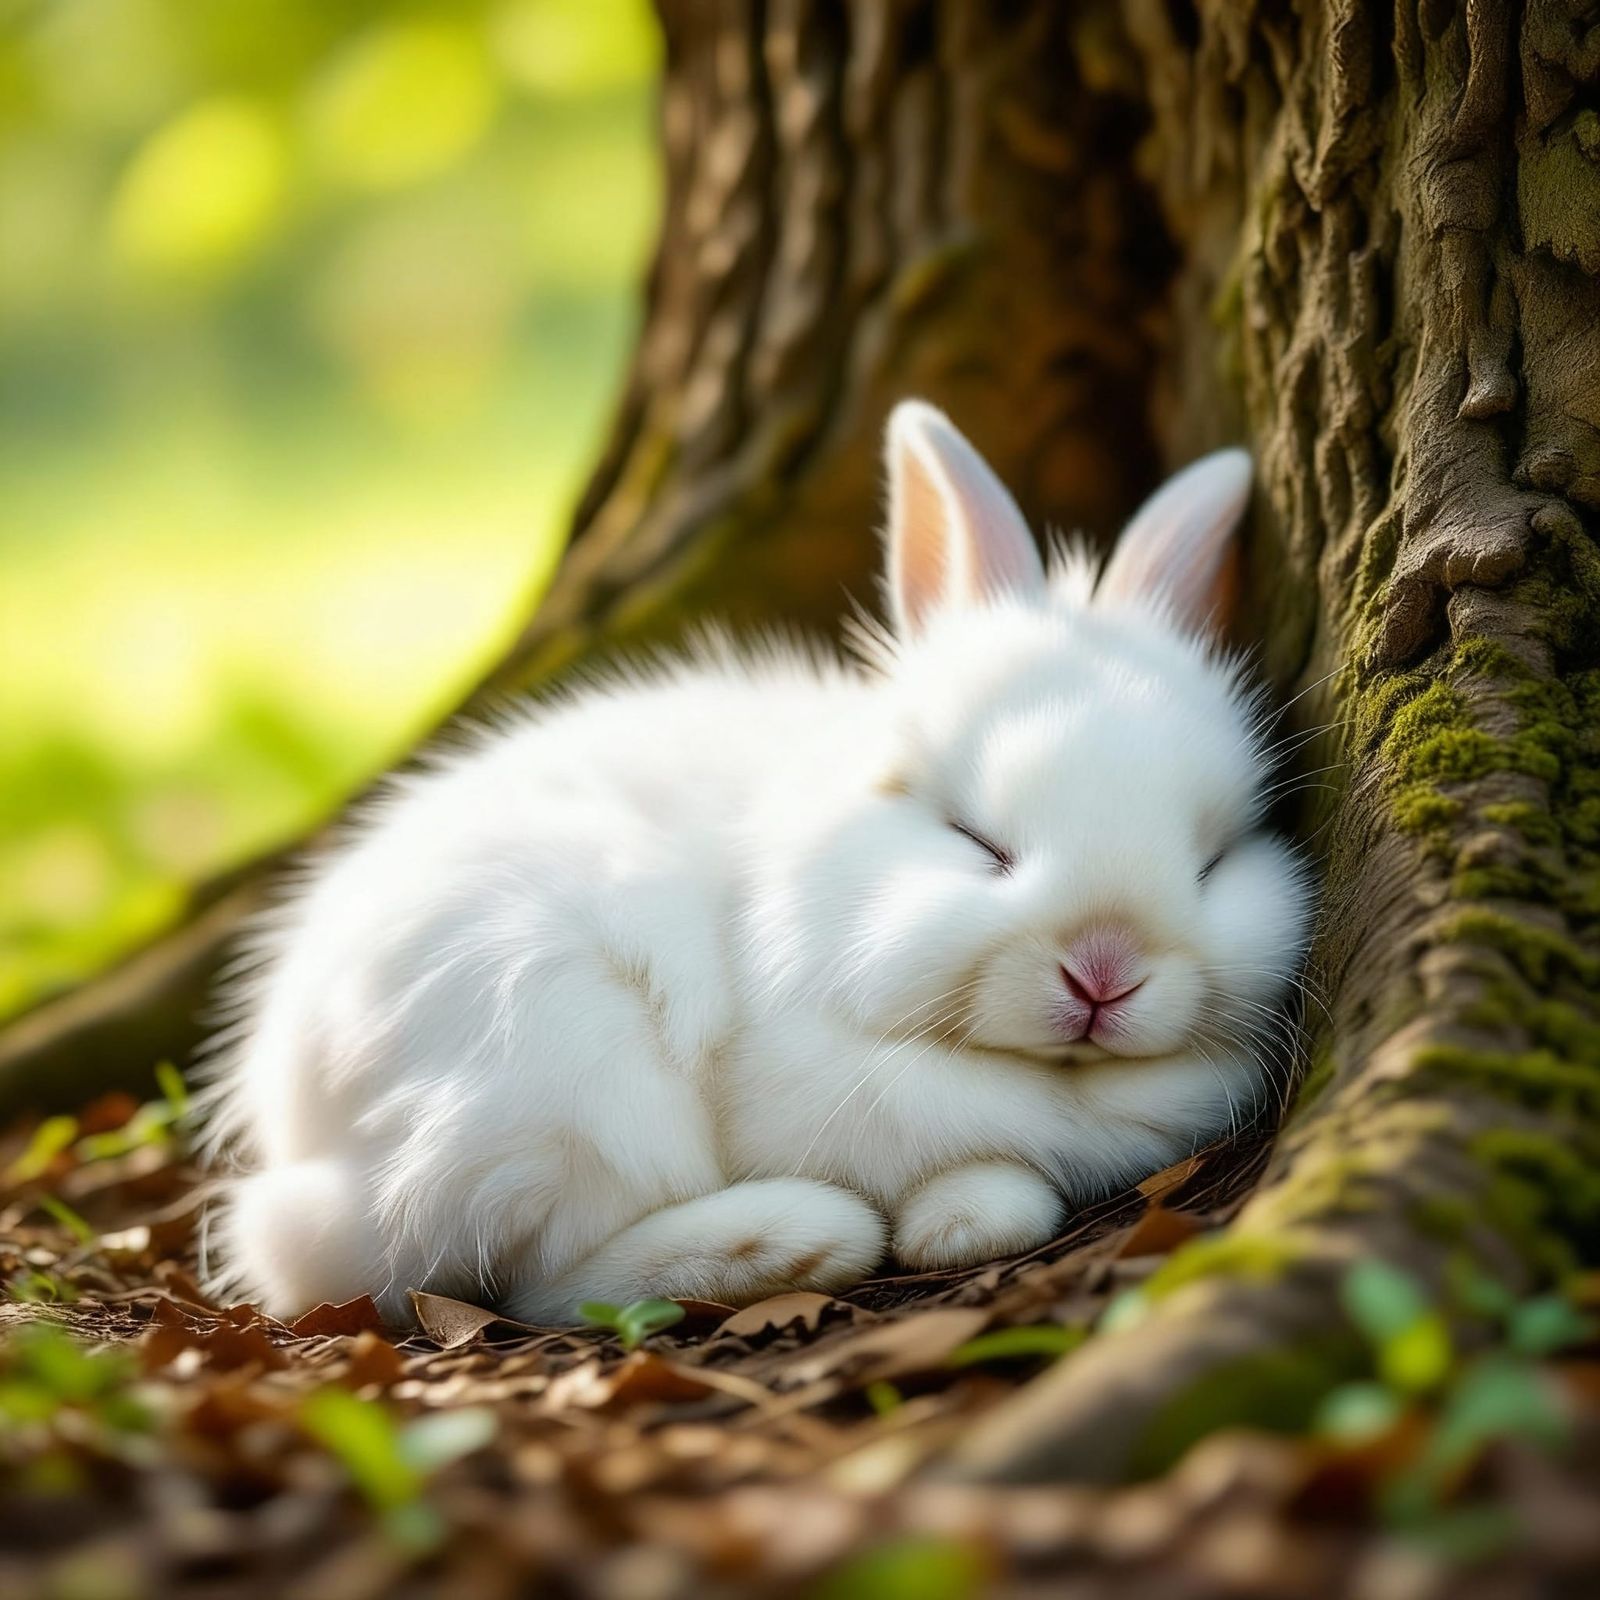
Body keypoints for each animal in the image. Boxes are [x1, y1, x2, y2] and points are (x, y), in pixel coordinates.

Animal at [202, 401, 1314, 1327]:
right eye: (975, 839)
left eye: (1215, 857)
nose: (1103, 968)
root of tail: (294, 1142)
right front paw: (958, 1216)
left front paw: (967, 1216)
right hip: (559, 1061)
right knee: (538, 1279)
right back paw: (790, 1241)